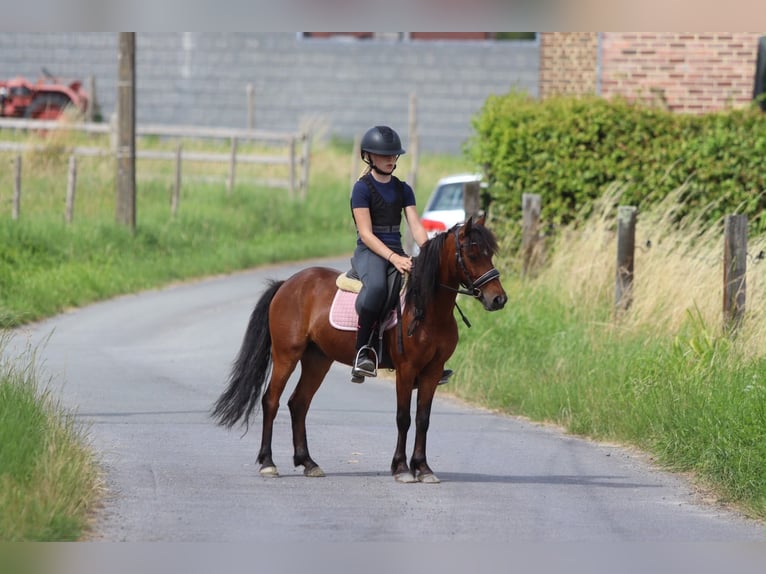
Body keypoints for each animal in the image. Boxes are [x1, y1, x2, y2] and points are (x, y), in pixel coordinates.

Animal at [211, 216, 507, 483]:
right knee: (271, 401)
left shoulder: (432, 371)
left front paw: (423, 468)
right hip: (286, 355)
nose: (498, 299)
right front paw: (402, 468)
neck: (427, 309)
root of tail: (287, 284)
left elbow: (423, 418)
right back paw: (268, 463)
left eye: (490, 253)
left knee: (299, 404)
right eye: (471, 254)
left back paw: (308, 463)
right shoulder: (406, 370)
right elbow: (403, 418)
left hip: (317, 360)